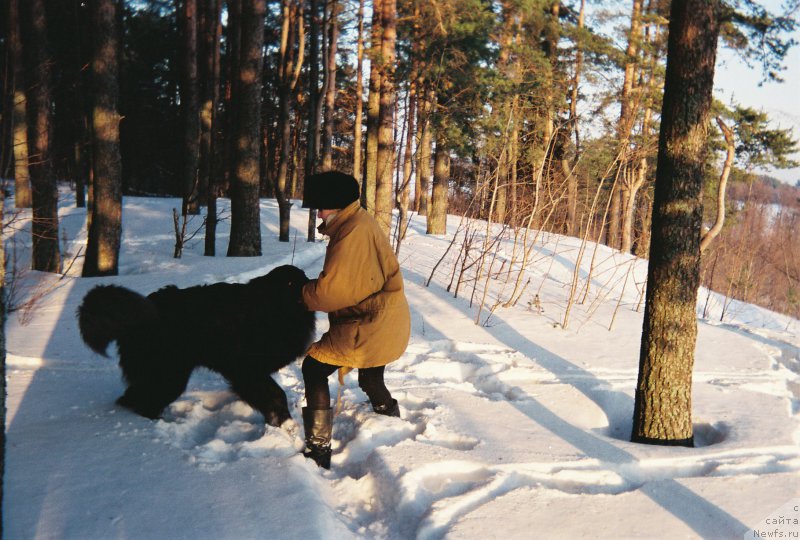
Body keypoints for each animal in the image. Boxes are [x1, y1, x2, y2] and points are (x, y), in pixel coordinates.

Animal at [77, 264, 316, 426]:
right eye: (290, 283)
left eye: (301, 278)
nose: (314, 283)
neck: (269, 309)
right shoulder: (245, 370)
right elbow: (275, 394)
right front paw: (284, 422)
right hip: (169, 375)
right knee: (146, 401)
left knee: (133, 396)